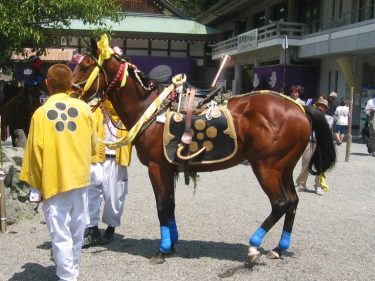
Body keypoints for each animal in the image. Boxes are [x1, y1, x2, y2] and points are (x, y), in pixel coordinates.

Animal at [72, 38, 336, 264]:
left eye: (85, 67)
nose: (70, 91)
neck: (150, 109)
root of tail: (299, 107)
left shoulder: (157, 168)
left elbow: (161, 207)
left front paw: (162, 249)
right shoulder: (168, 169)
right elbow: (170, 205)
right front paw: (172, 244)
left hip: (267, 167)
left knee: (280, 203)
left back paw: (253, 246)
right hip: (284, 168)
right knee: (292, 202)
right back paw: (279, 248)